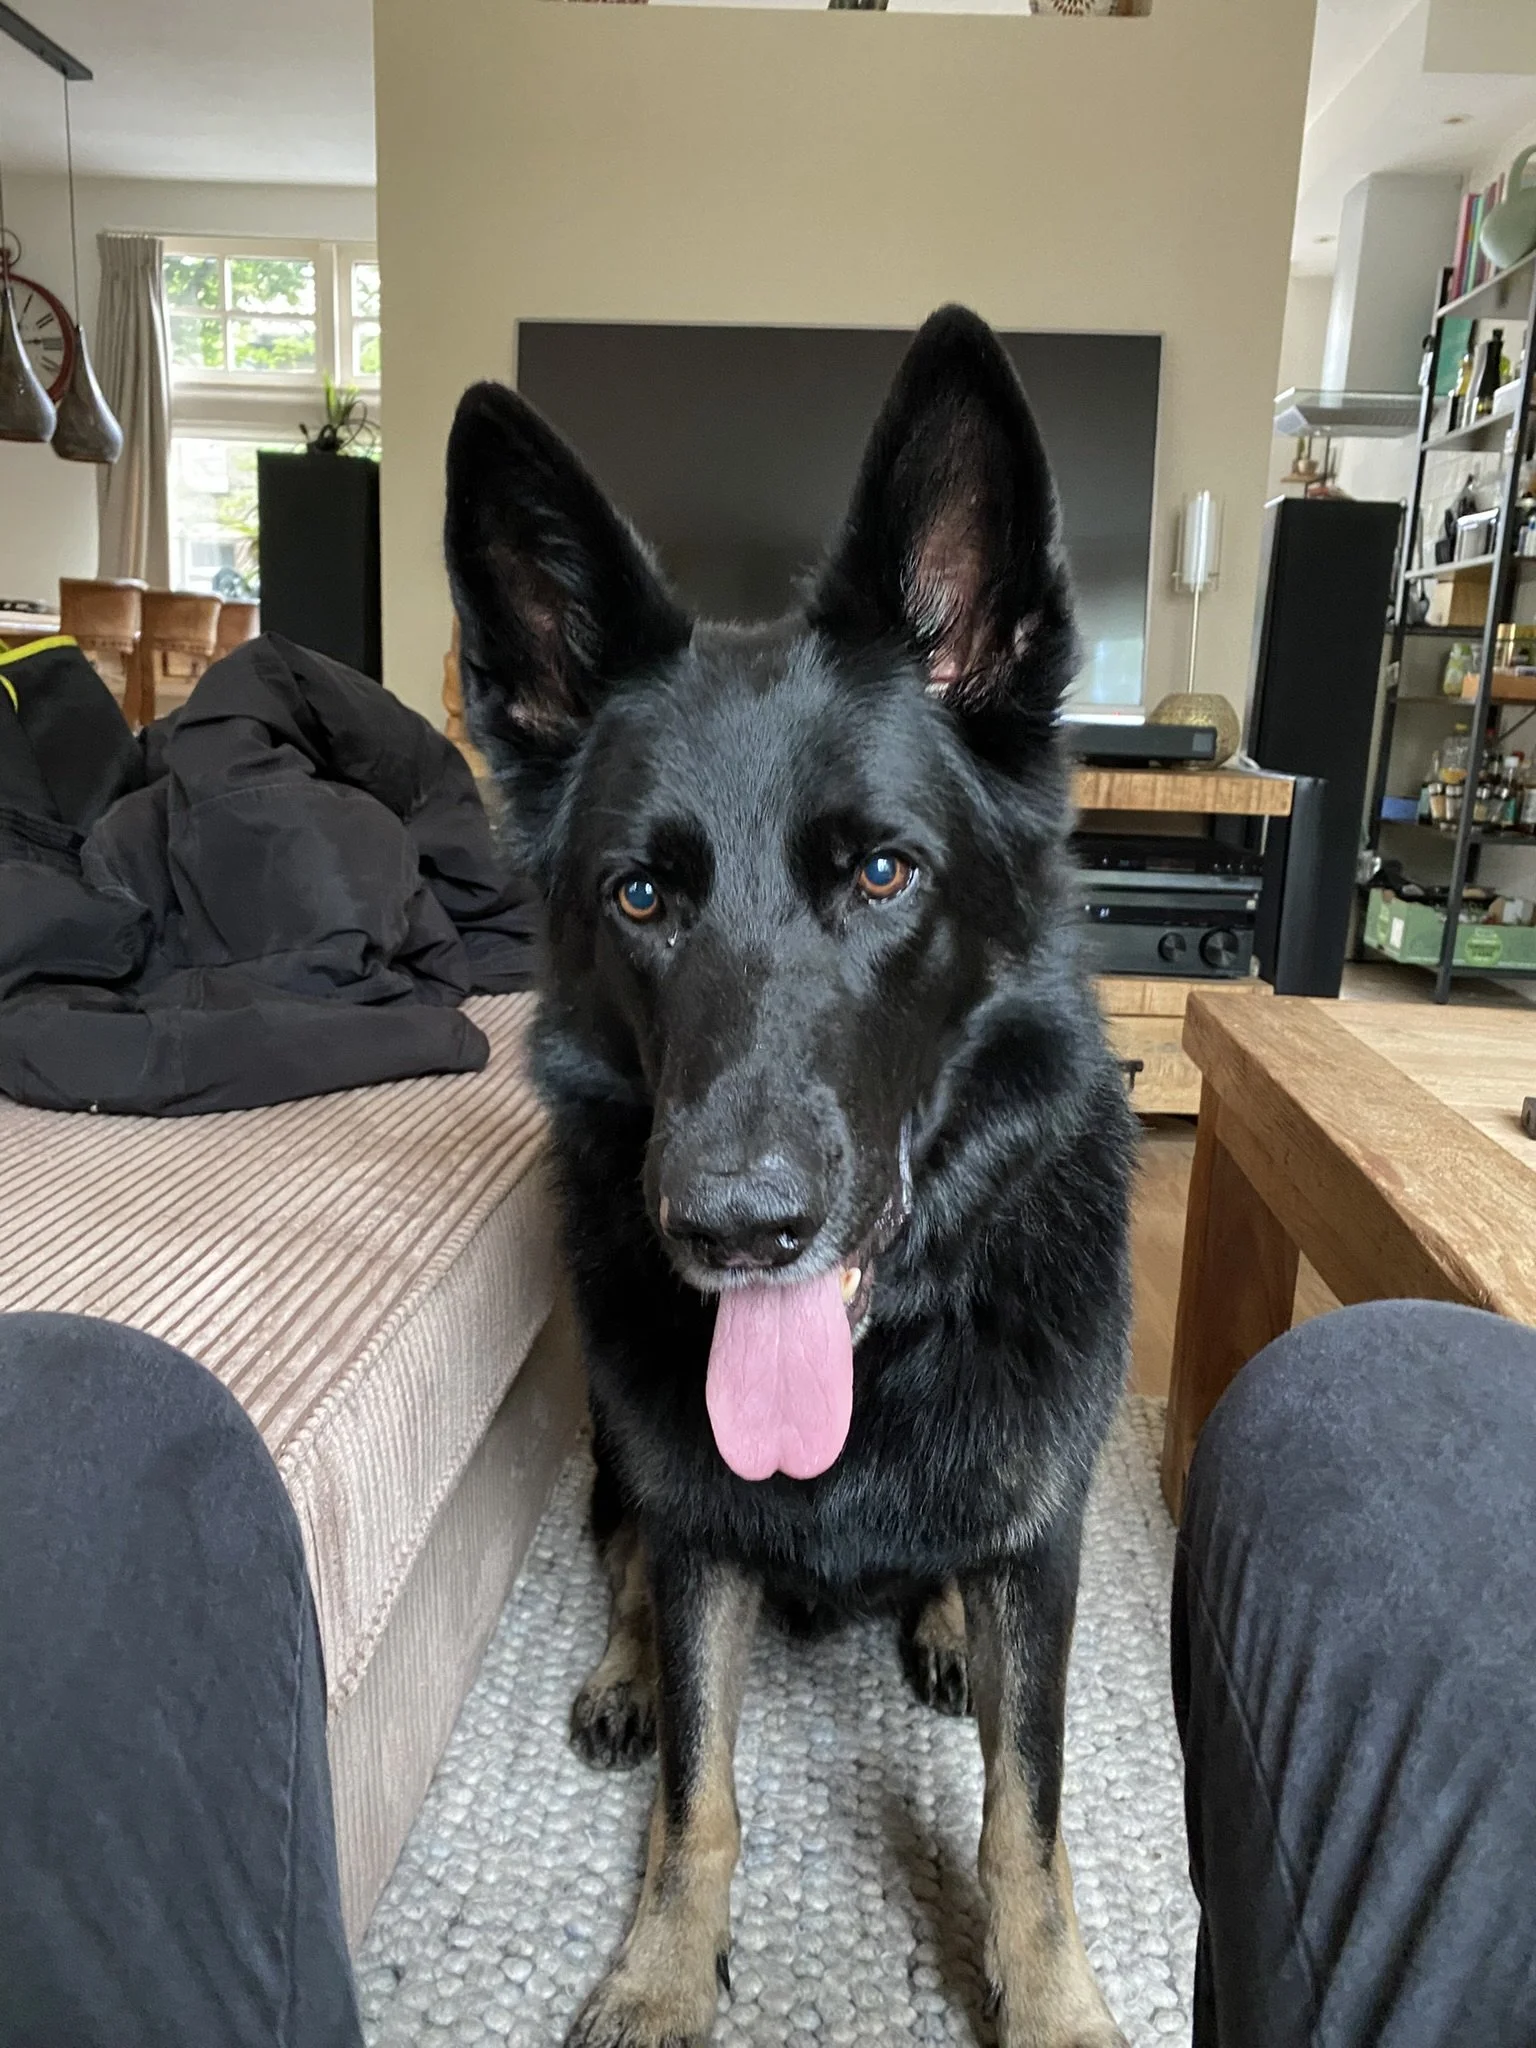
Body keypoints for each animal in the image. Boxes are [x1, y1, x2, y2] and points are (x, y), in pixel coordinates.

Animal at [445, 305, 1135, 2048]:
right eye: (638, 898)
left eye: (883, 873)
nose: (736, 1230)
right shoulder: (697, 1530)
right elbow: (700, 1792)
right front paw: (658, 1970)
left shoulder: (1045, 1549)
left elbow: (1025, 1823)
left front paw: (1052, 1999)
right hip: (623, 1457)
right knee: (630, 1572)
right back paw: (625, 1675)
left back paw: (941, 1629)